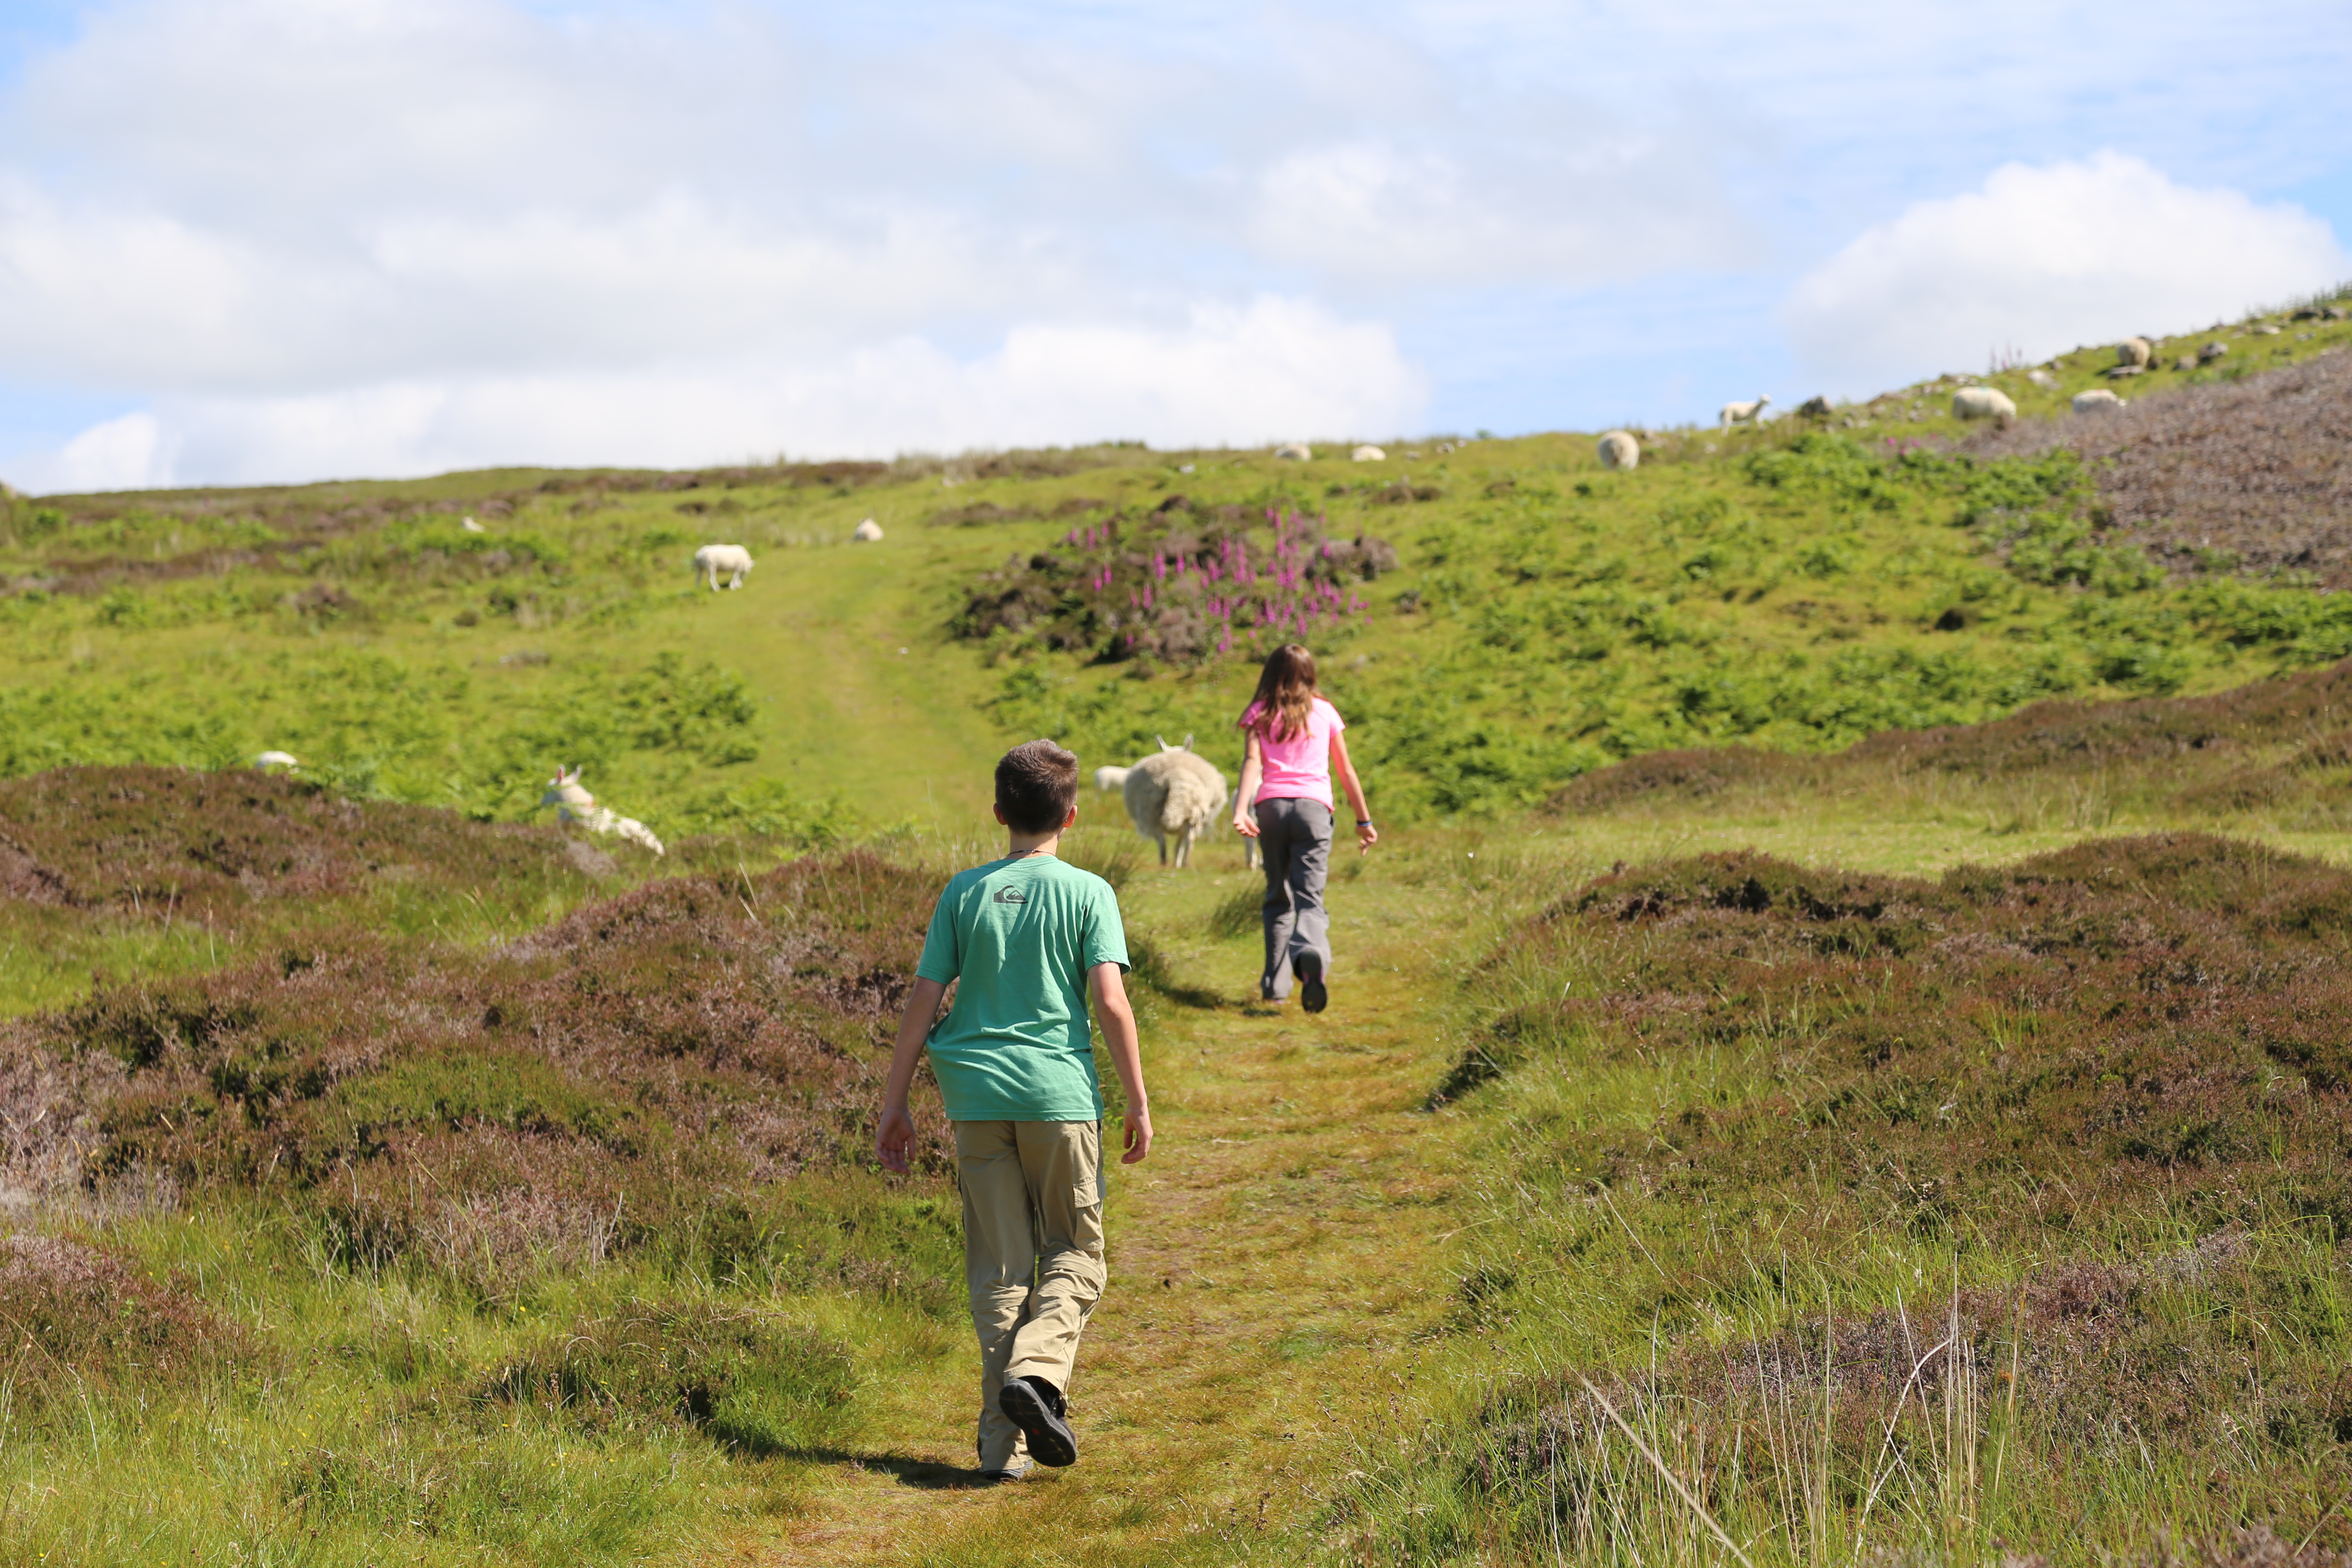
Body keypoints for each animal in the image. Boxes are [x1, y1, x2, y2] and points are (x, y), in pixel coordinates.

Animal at [686, 540, 753, 588]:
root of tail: (699, 554)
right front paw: (733, 586)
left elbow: (736, 577)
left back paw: (699, 590)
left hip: (699, 568)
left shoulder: (736, 569)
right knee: (711, 579)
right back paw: (716, 588)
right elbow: (735, 577)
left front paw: (738, 584)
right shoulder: (738, 567)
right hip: (711, 567)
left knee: (698, 579)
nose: (745, 579)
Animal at [1119, 738, 1232, 870]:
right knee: (1186, 840)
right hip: (1193, 812)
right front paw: (1177, 863)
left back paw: (1165, 864)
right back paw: (1183, 864)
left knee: (1163, 840)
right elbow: (1180, 846)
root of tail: (1175, 776)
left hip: (1151, 810)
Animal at [1712, 395, 1768, 432]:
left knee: (1722, 425)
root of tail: (1722, 410)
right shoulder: (1753, 417)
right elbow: (1755, 423)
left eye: (1768, 397)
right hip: (1728, 415)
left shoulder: (1754, 417)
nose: (1769, 402)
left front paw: (1763, 428)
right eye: (1763, 399)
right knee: (1727, 425)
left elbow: (1758, 422)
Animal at [1947, 388, 2022, 423]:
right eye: (2013, 414)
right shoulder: (1991, 412)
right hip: (1959, 408)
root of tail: (1954, 395)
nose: (2014, 422)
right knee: (1958, 417)